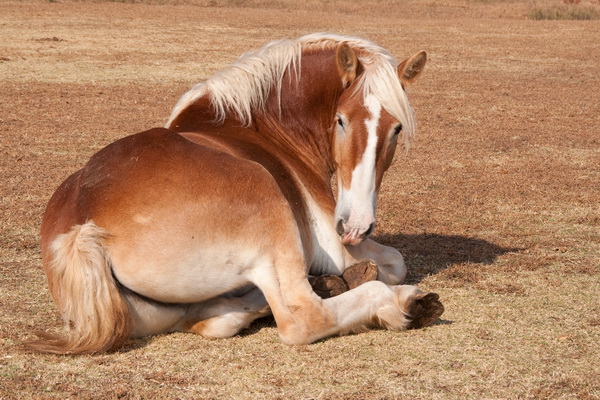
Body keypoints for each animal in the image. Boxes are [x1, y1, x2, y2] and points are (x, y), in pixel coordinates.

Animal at [29, 32, 440, 354]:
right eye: (340, 120)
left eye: (396, 128)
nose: (355, 226)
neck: (261, 126)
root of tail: (85, 228)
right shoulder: (336, 248)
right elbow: (395, 262)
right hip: (268, 207)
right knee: (303, 317)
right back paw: (401, 302)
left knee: (214, 319)